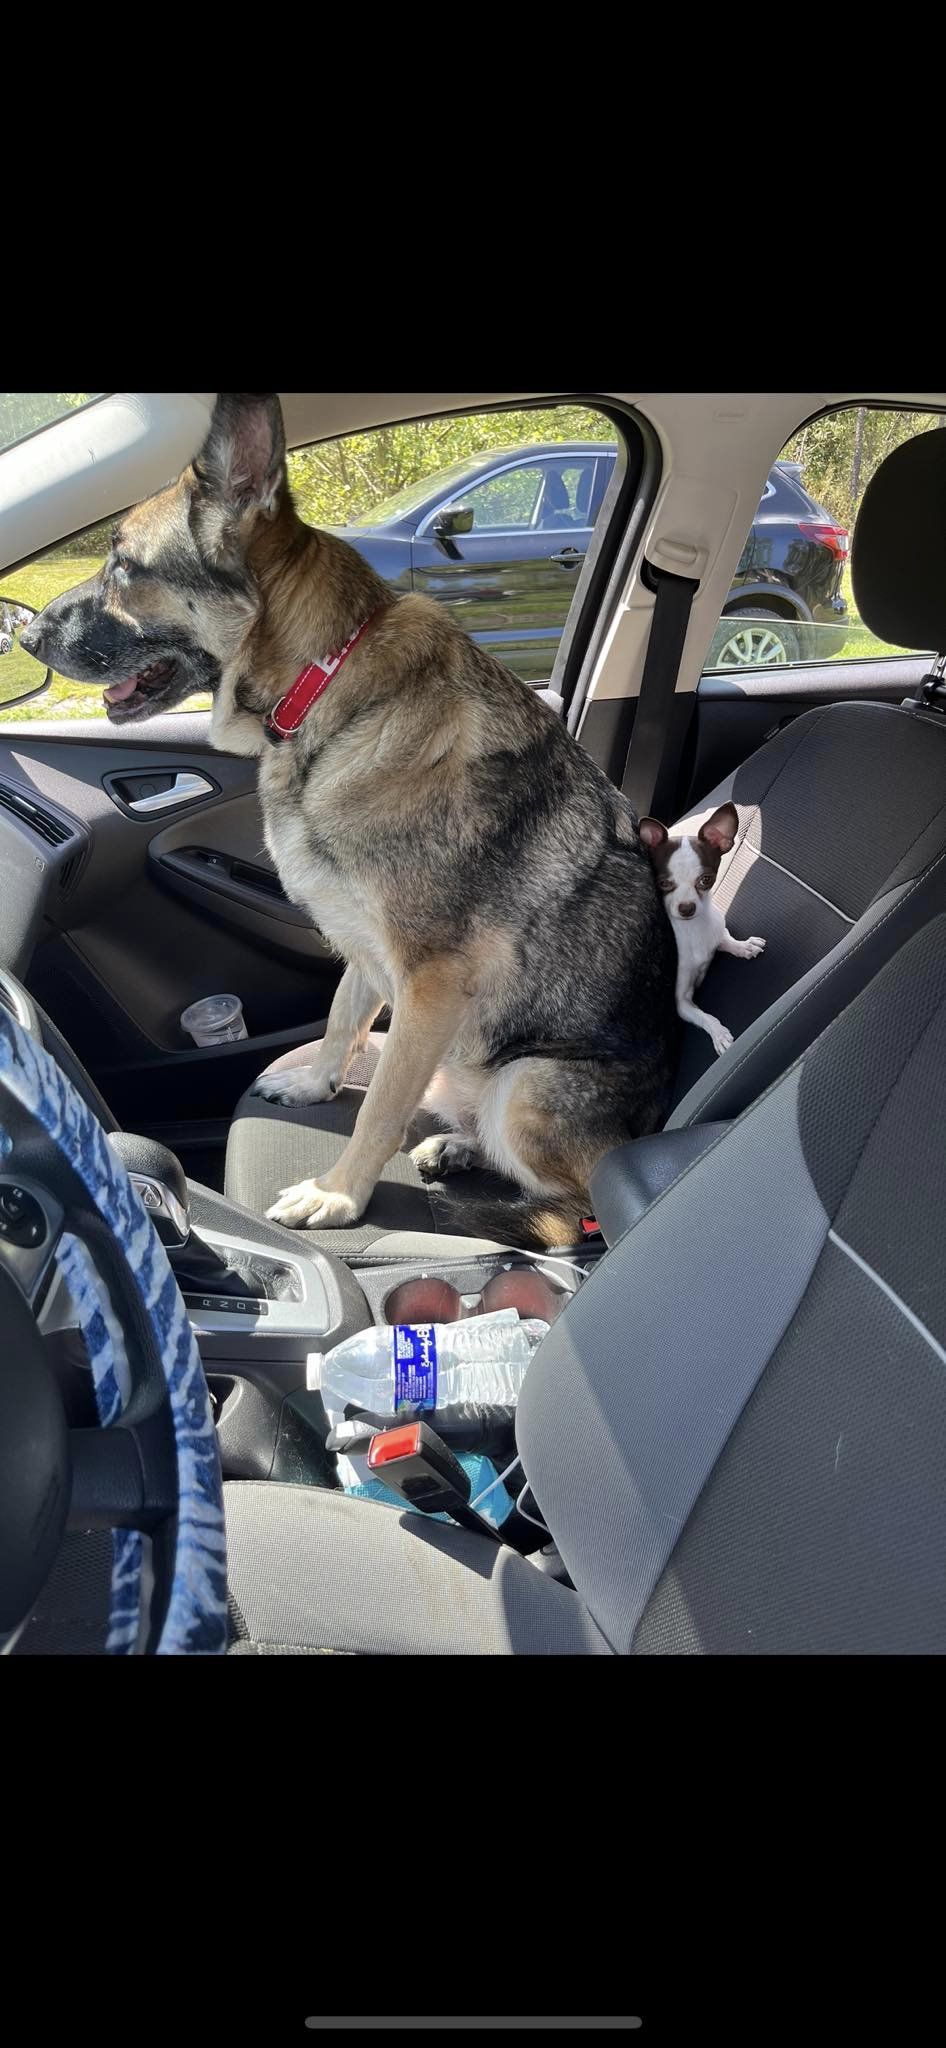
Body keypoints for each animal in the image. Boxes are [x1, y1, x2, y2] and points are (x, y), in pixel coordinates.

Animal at [22, 389, 679, 1236]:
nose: (23, 633)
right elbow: (341, 1018)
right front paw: (314, 1086)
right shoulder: (367, 952)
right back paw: (455, 1145)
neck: (324, 683)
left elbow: (380, 1105)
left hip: (527, 1087)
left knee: (572, 1197)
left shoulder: (430, 985)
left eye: (124, 566)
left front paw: (339, 1194)